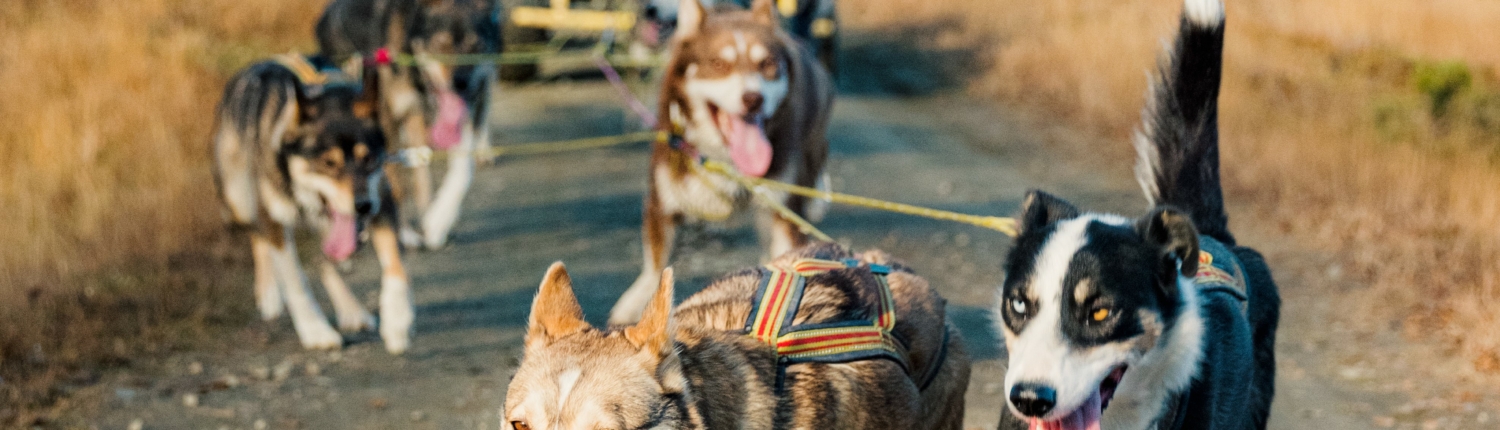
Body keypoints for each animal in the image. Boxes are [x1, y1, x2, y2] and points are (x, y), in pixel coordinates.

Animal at [208, 54, 414, 353]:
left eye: (369, 159)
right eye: (328, 163)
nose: (362, 206)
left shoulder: (382, 199)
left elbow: (395, 264)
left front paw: (397, 321)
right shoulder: (274, 218)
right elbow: (295, 281)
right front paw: (314, 329)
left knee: (325, 260)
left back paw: (351, 310)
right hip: (239, 198)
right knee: (257, 237)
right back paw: (269, 292)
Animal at [316, 0, 504, 248]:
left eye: (476, 45)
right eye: (440, 43)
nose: (460, 82)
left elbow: (461, 171)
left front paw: (437, 222)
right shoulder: (386, 122)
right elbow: (397, 184)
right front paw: (404, 233)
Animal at [615, 0, 840, 326]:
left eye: (768, 64)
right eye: (719, 64)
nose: (753, 99)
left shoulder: (784, 210)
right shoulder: (662, 198)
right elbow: (656, 261)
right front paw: (636, 300)